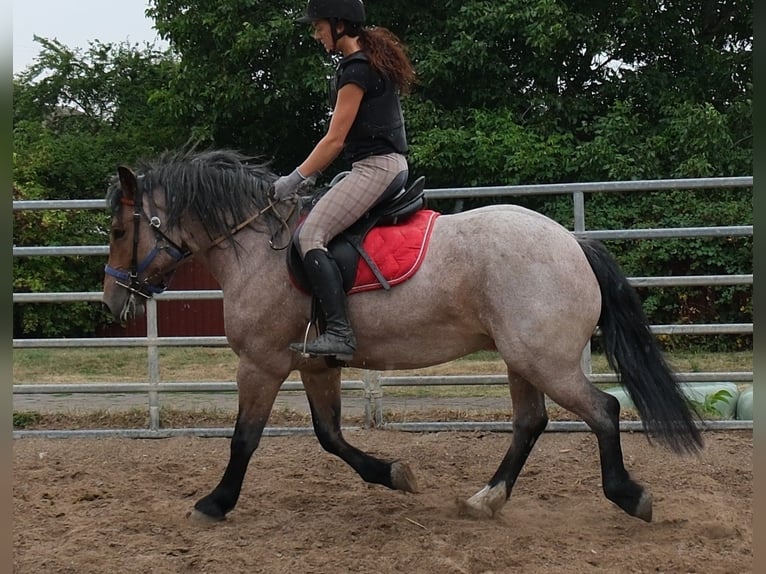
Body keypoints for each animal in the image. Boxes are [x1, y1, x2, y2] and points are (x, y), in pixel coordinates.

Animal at [101, 148, 703, 524]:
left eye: (117, 229)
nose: (111, 302)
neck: (257, 249)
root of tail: (572, 243)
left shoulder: (262, 364)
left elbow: (244, 439)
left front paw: (215, 502)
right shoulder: (315, 365)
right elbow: (330, 437)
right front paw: (394, 473)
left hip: (544, 360)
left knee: (603, 410)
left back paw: (628, 495)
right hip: (521, 360)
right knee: (531, 422)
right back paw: (485, 499)